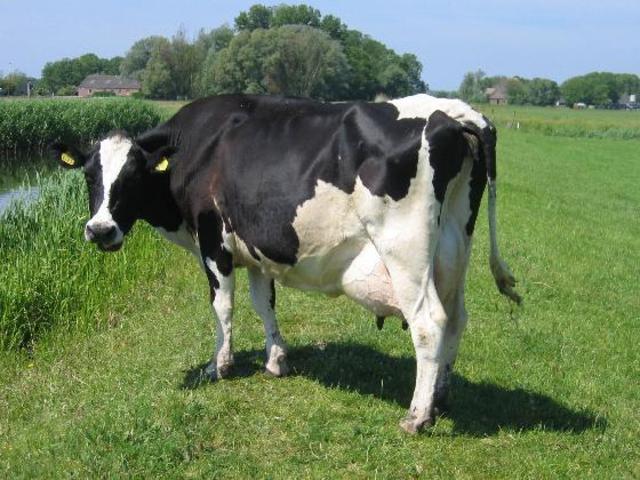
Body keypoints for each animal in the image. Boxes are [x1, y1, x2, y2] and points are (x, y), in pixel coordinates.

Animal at [52, 93, 521, 433]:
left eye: (132, 176)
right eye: (90, 176)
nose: (99, 230)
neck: (197, 146)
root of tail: (453, 113)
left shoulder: (214, 238)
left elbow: (223, 305)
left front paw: (219, 365)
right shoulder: (256, 245)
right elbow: (265, 302)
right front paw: (276, 360)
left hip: (405, 250)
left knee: (429, 324)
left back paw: (417, 416)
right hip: (453, 247)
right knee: (456, 318)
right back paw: (440, 397)